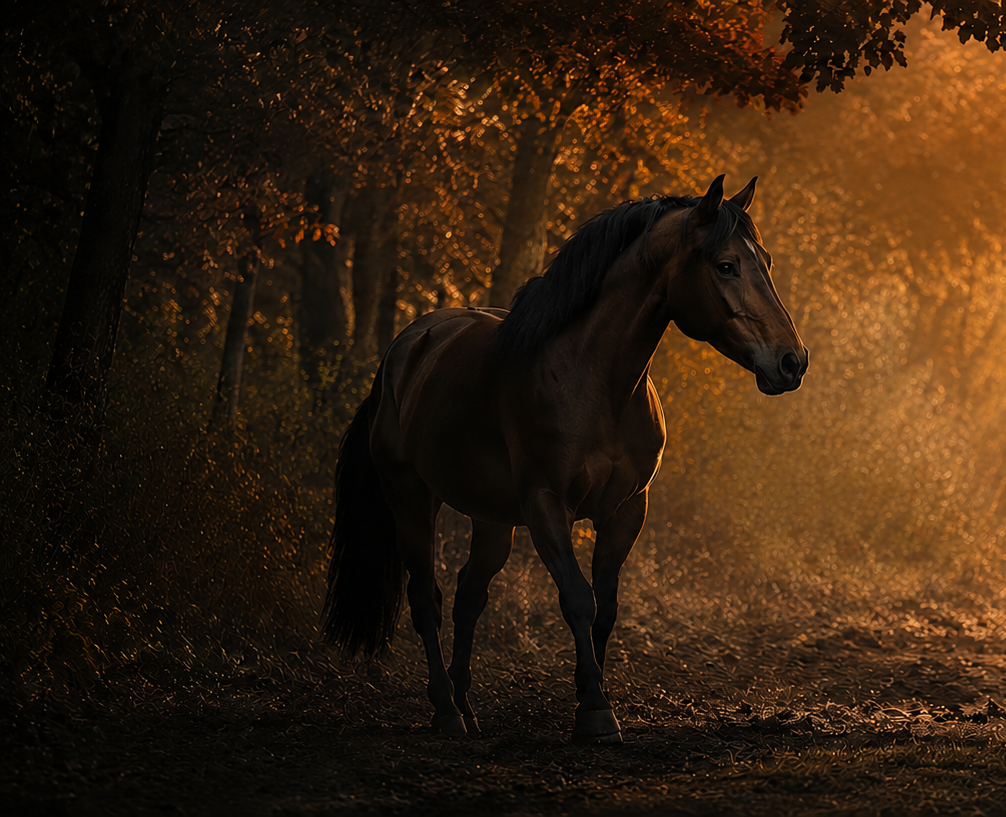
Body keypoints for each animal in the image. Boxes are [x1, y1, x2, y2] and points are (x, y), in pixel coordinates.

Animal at [321, 175, 808, 743]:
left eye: (765, 261)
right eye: (726, 265)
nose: (792, 361)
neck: (594, 380)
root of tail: (404, 349)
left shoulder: (626, 511)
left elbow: (606, 607)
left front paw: (589, 695)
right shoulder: (546, 506)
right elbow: (578, 597)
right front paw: (595, 710)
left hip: (492, 520)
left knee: (468, 596)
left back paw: (465, 704)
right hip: (411, 500)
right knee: (427, 600)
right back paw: (445, 710)